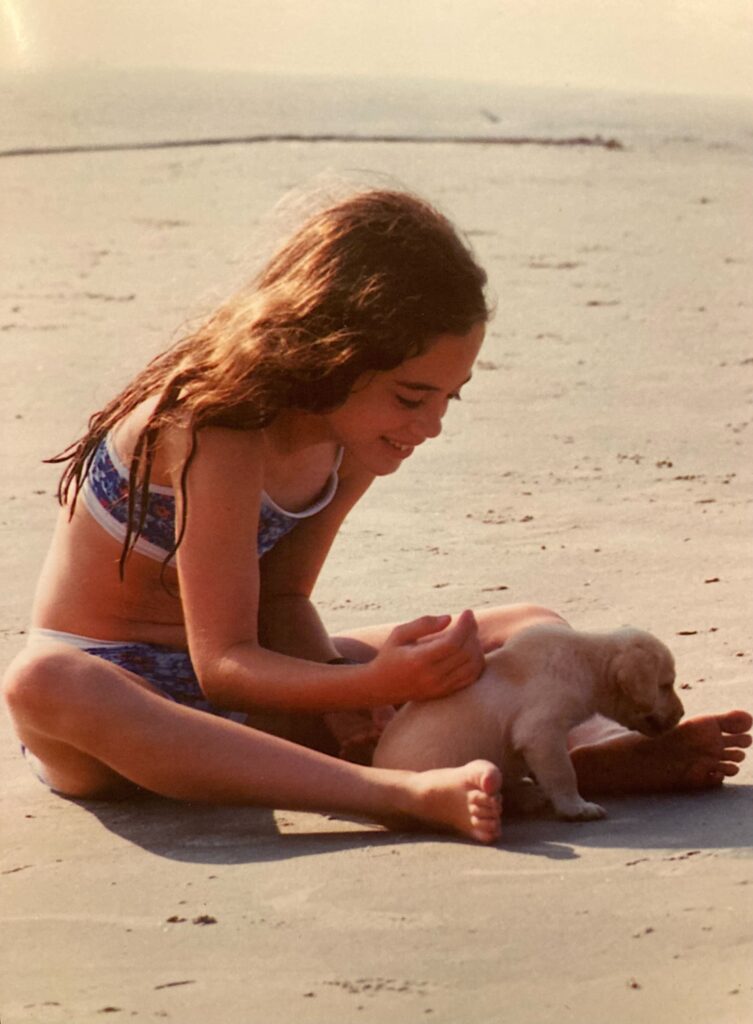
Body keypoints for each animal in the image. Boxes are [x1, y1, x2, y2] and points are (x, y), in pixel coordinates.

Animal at [372, 618, 684, 819]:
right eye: (666, 684)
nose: (681, 714)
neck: (586, 660)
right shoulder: (542, 732)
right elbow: (563, 772)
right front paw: (577, 807)